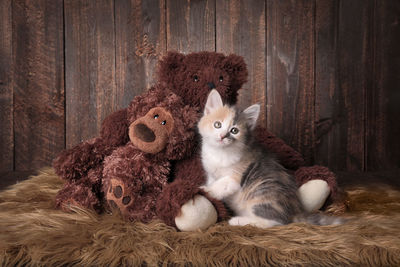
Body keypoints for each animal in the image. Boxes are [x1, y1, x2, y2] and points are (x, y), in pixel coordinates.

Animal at [198, 90, 342, 228]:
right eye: (217, 124)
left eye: (234, 131)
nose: (222, 136)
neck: (220, 152)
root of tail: (293, 212)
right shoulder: (210, 173)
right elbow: (213, 181)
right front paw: (209, 190)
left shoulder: (236, 175)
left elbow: (222, 184)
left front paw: (206, 190)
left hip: (262, 192)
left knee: (274, 222)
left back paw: (238, 221)